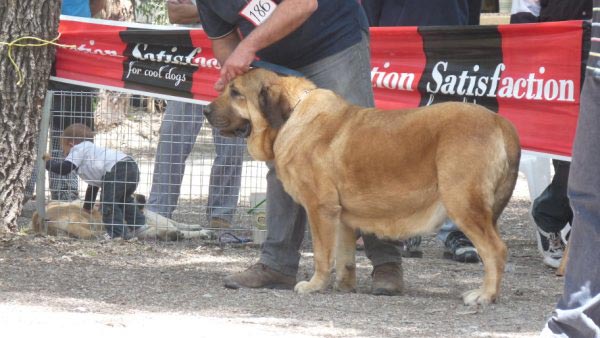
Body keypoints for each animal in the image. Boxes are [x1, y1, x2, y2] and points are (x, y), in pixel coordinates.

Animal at [203, 69, 520, 306]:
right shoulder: (342, 217)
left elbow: (322, 255)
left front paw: (314, 285)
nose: (205, 110)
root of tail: (499, 121)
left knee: (495, 250)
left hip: (464, 204)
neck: (291, 114)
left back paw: (485, 295)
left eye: (236, 93)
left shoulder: (320, 209)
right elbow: (344, 258)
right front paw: (343, 286)